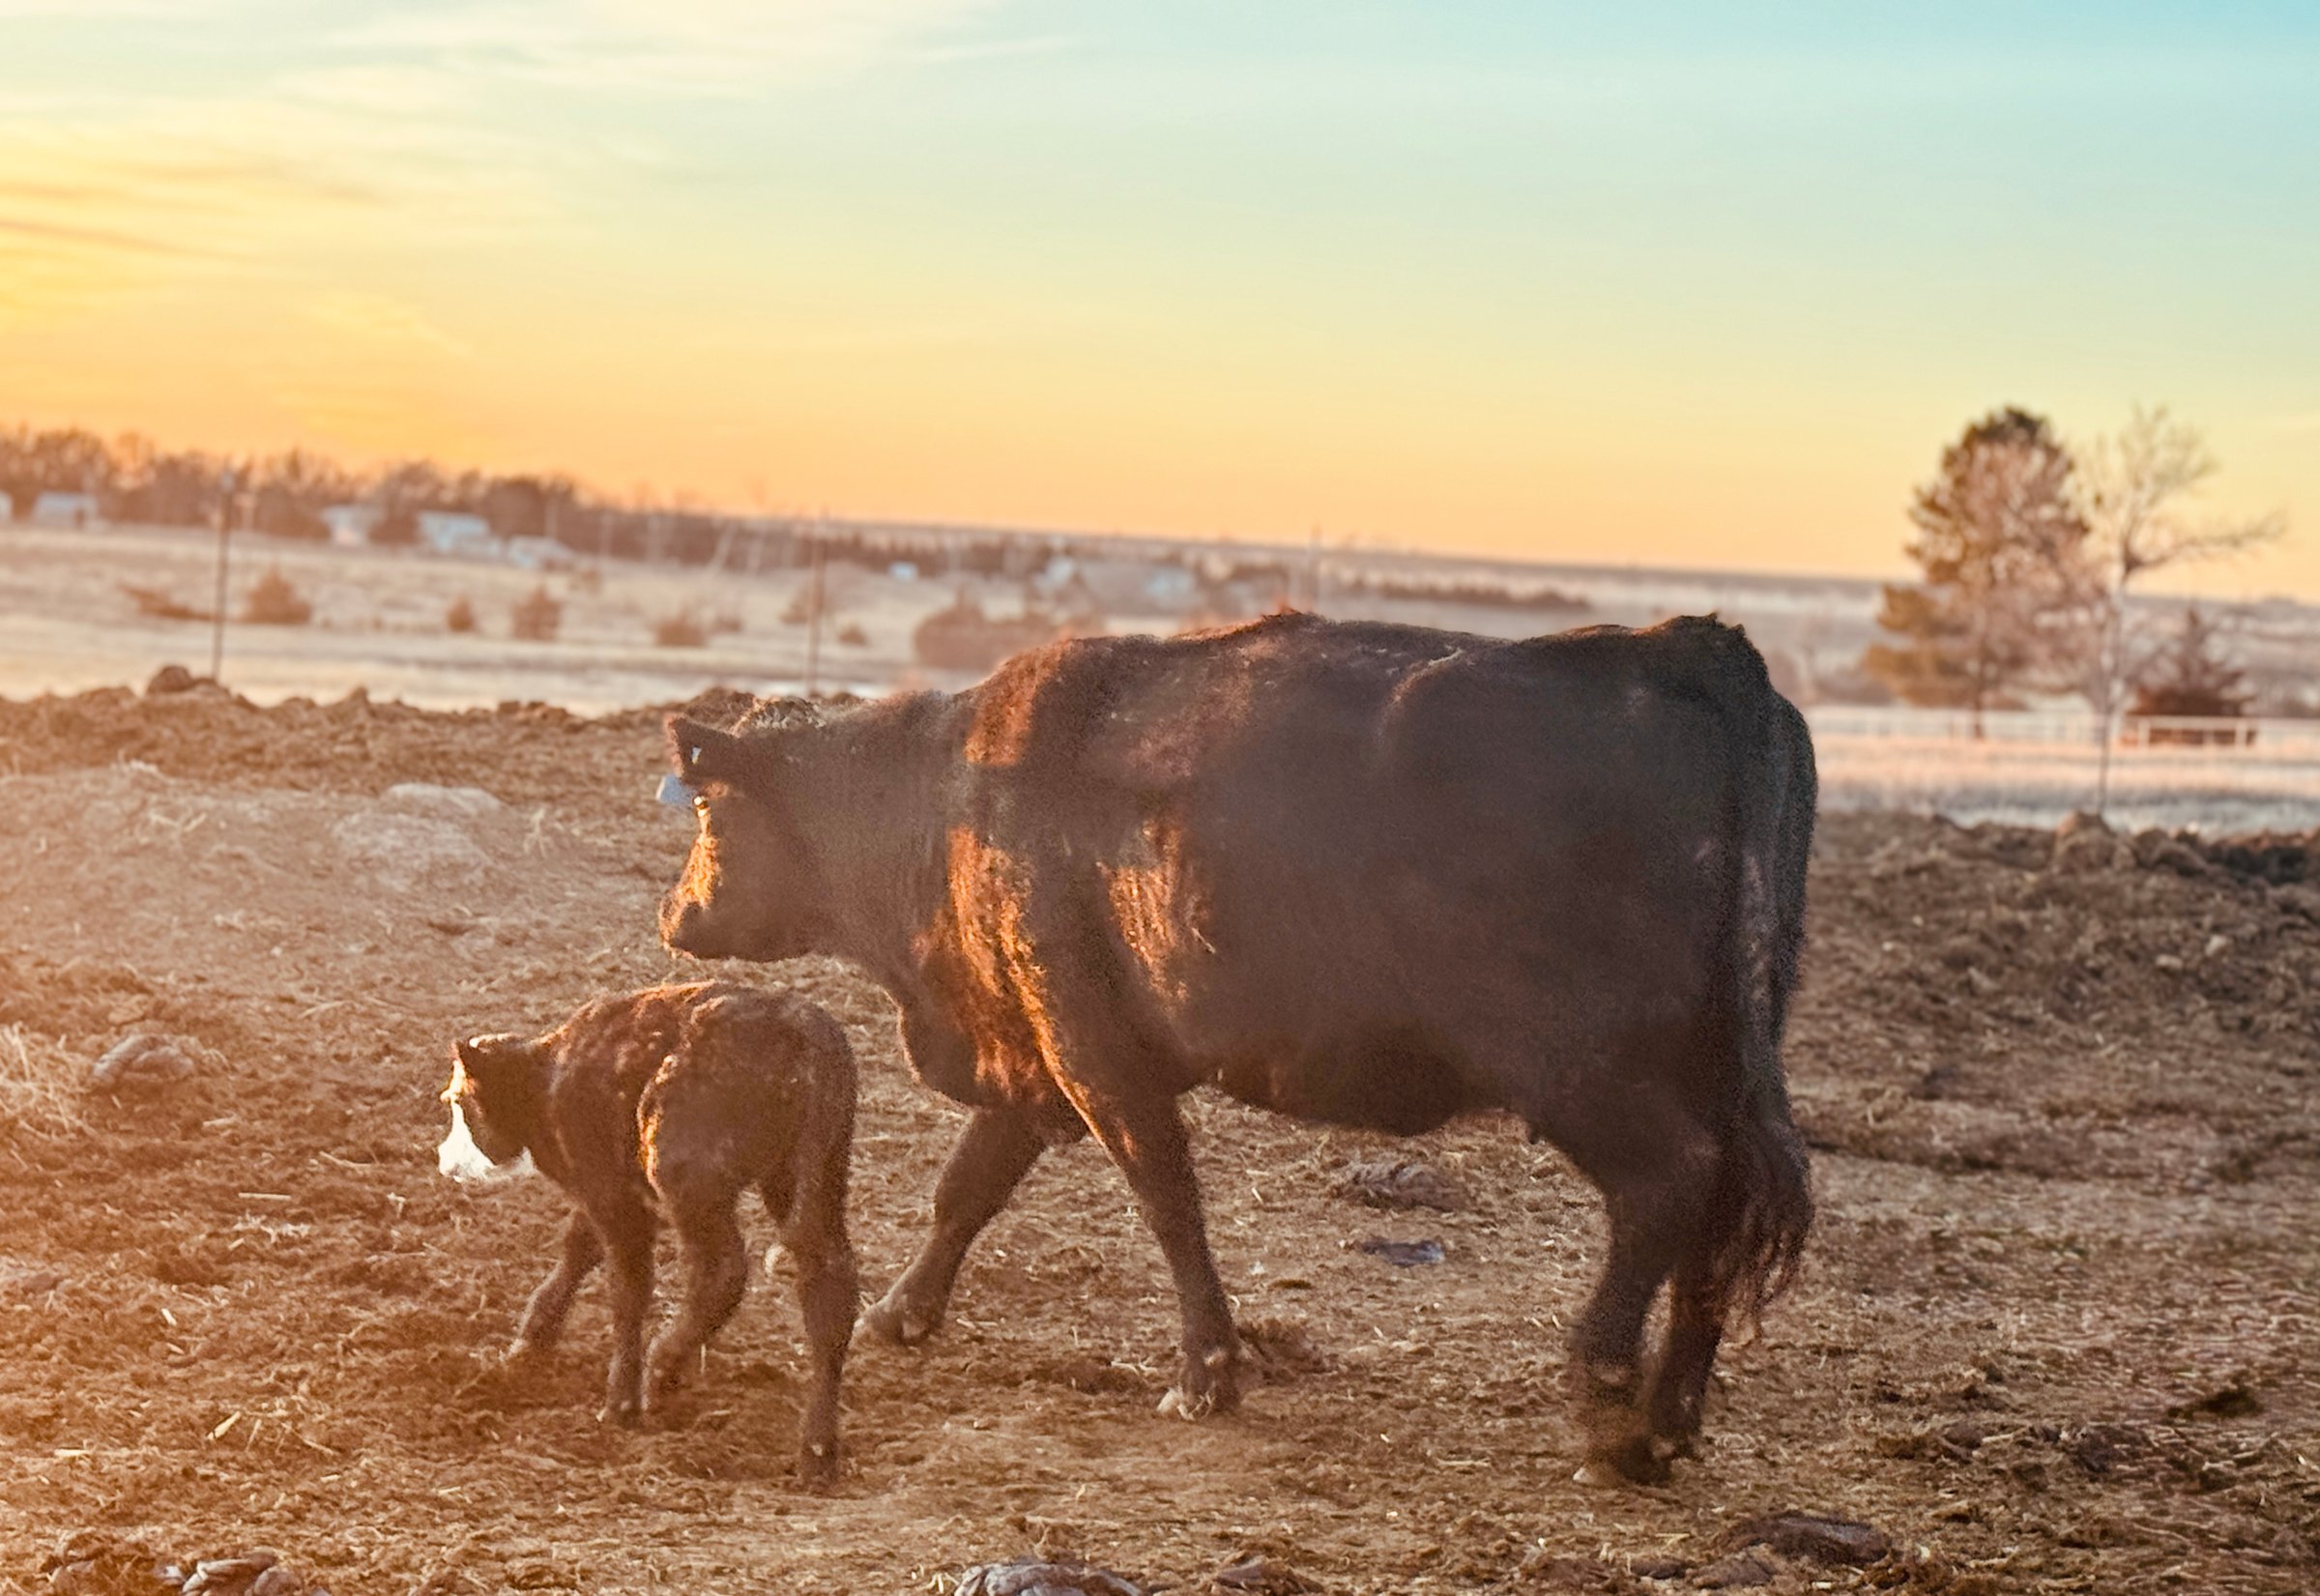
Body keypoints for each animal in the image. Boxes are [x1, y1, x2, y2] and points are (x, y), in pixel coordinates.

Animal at [437, 981, 858, 1486]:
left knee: (723, 1272)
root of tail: (803, 1024)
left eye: (460, 1103)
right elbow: (579, 1247)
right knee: (829, 1284)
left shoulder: (612, 1198)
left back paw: (663, 1367)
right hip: (807, 1179)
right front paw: (531, 1341)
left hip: (690, 1185)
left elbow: (627, 1288)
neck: (548, 1078)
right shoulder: (614, 1190)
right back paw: (817, 1452)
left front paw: (620, 1402)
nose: (445, 1161)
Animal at [658, 611, 1815, 1483]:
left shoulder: (1096, 1055)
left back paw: (1604, 1392)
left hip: (1590, 1078)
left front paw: (1206, 1371)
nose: (676, 915)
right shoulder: (1041, 1050)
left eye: (708, 809)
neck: (947, 790)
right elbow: (968, 1188)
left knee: (1670, 1187)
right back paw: (1668, 1422)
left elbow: (1164, 1197)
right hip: (1716, 1074)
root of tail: (1688, 649)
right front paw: (903, 1313)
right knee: (1721, 1213)